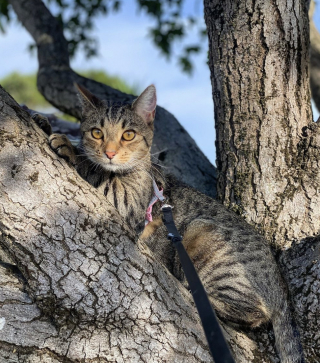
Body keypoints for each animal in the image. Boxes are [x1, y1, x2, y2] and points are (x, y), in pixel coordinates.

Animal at [34, 84, 304, 362]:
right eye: (97, 132)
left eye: (128, 135)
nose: (109, 153)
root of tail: (280, 285)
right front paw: (43, 122)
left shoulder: (124, 201)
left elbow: (94, 170)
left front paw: (68, 145)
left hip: (203, 233)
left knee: (253, 312)